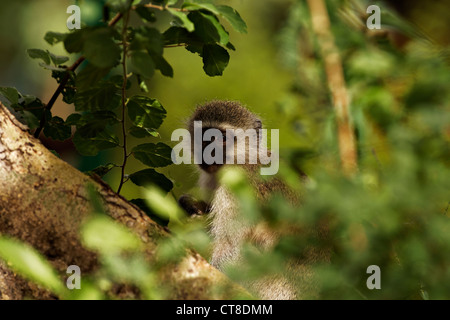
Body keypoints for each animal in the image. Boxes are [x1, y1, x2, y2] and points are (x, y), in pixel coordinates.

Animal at [179, 100, 330, 300]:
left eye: (223, 138)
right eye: (203, 137)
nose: (209, 153)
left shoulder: (237, 189)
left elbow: (231, 247)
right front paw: (192, 206)